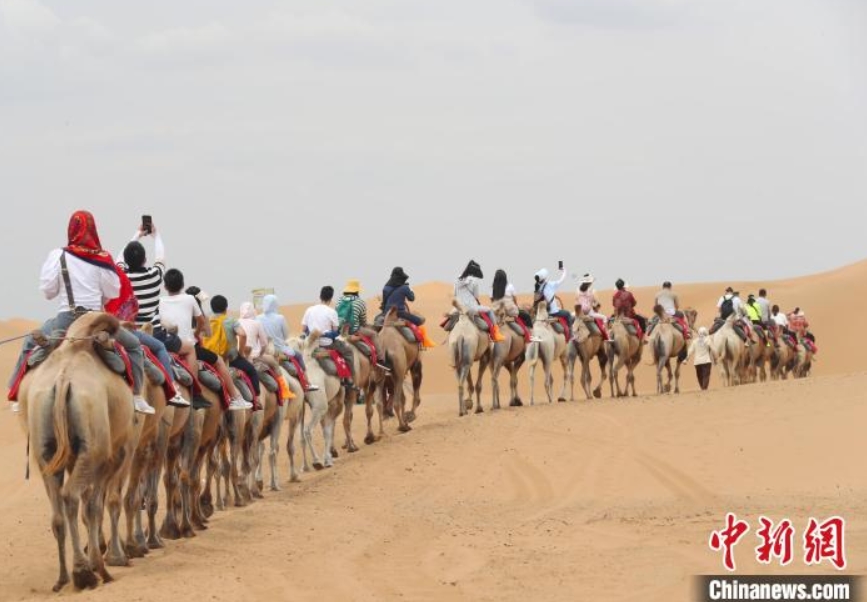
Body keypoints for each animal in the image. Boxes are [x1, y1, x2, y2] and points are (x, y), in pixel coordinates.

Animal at [17, 314, 141, 592]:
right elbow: (97, 506)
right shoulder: (115, 456)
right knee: (72, 497)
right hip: (93, 450)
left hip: (46, 451)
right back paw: (86, 572)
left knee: (58, 513)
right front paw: (105, 561)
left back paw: (64, 577)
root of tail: (63, 380)